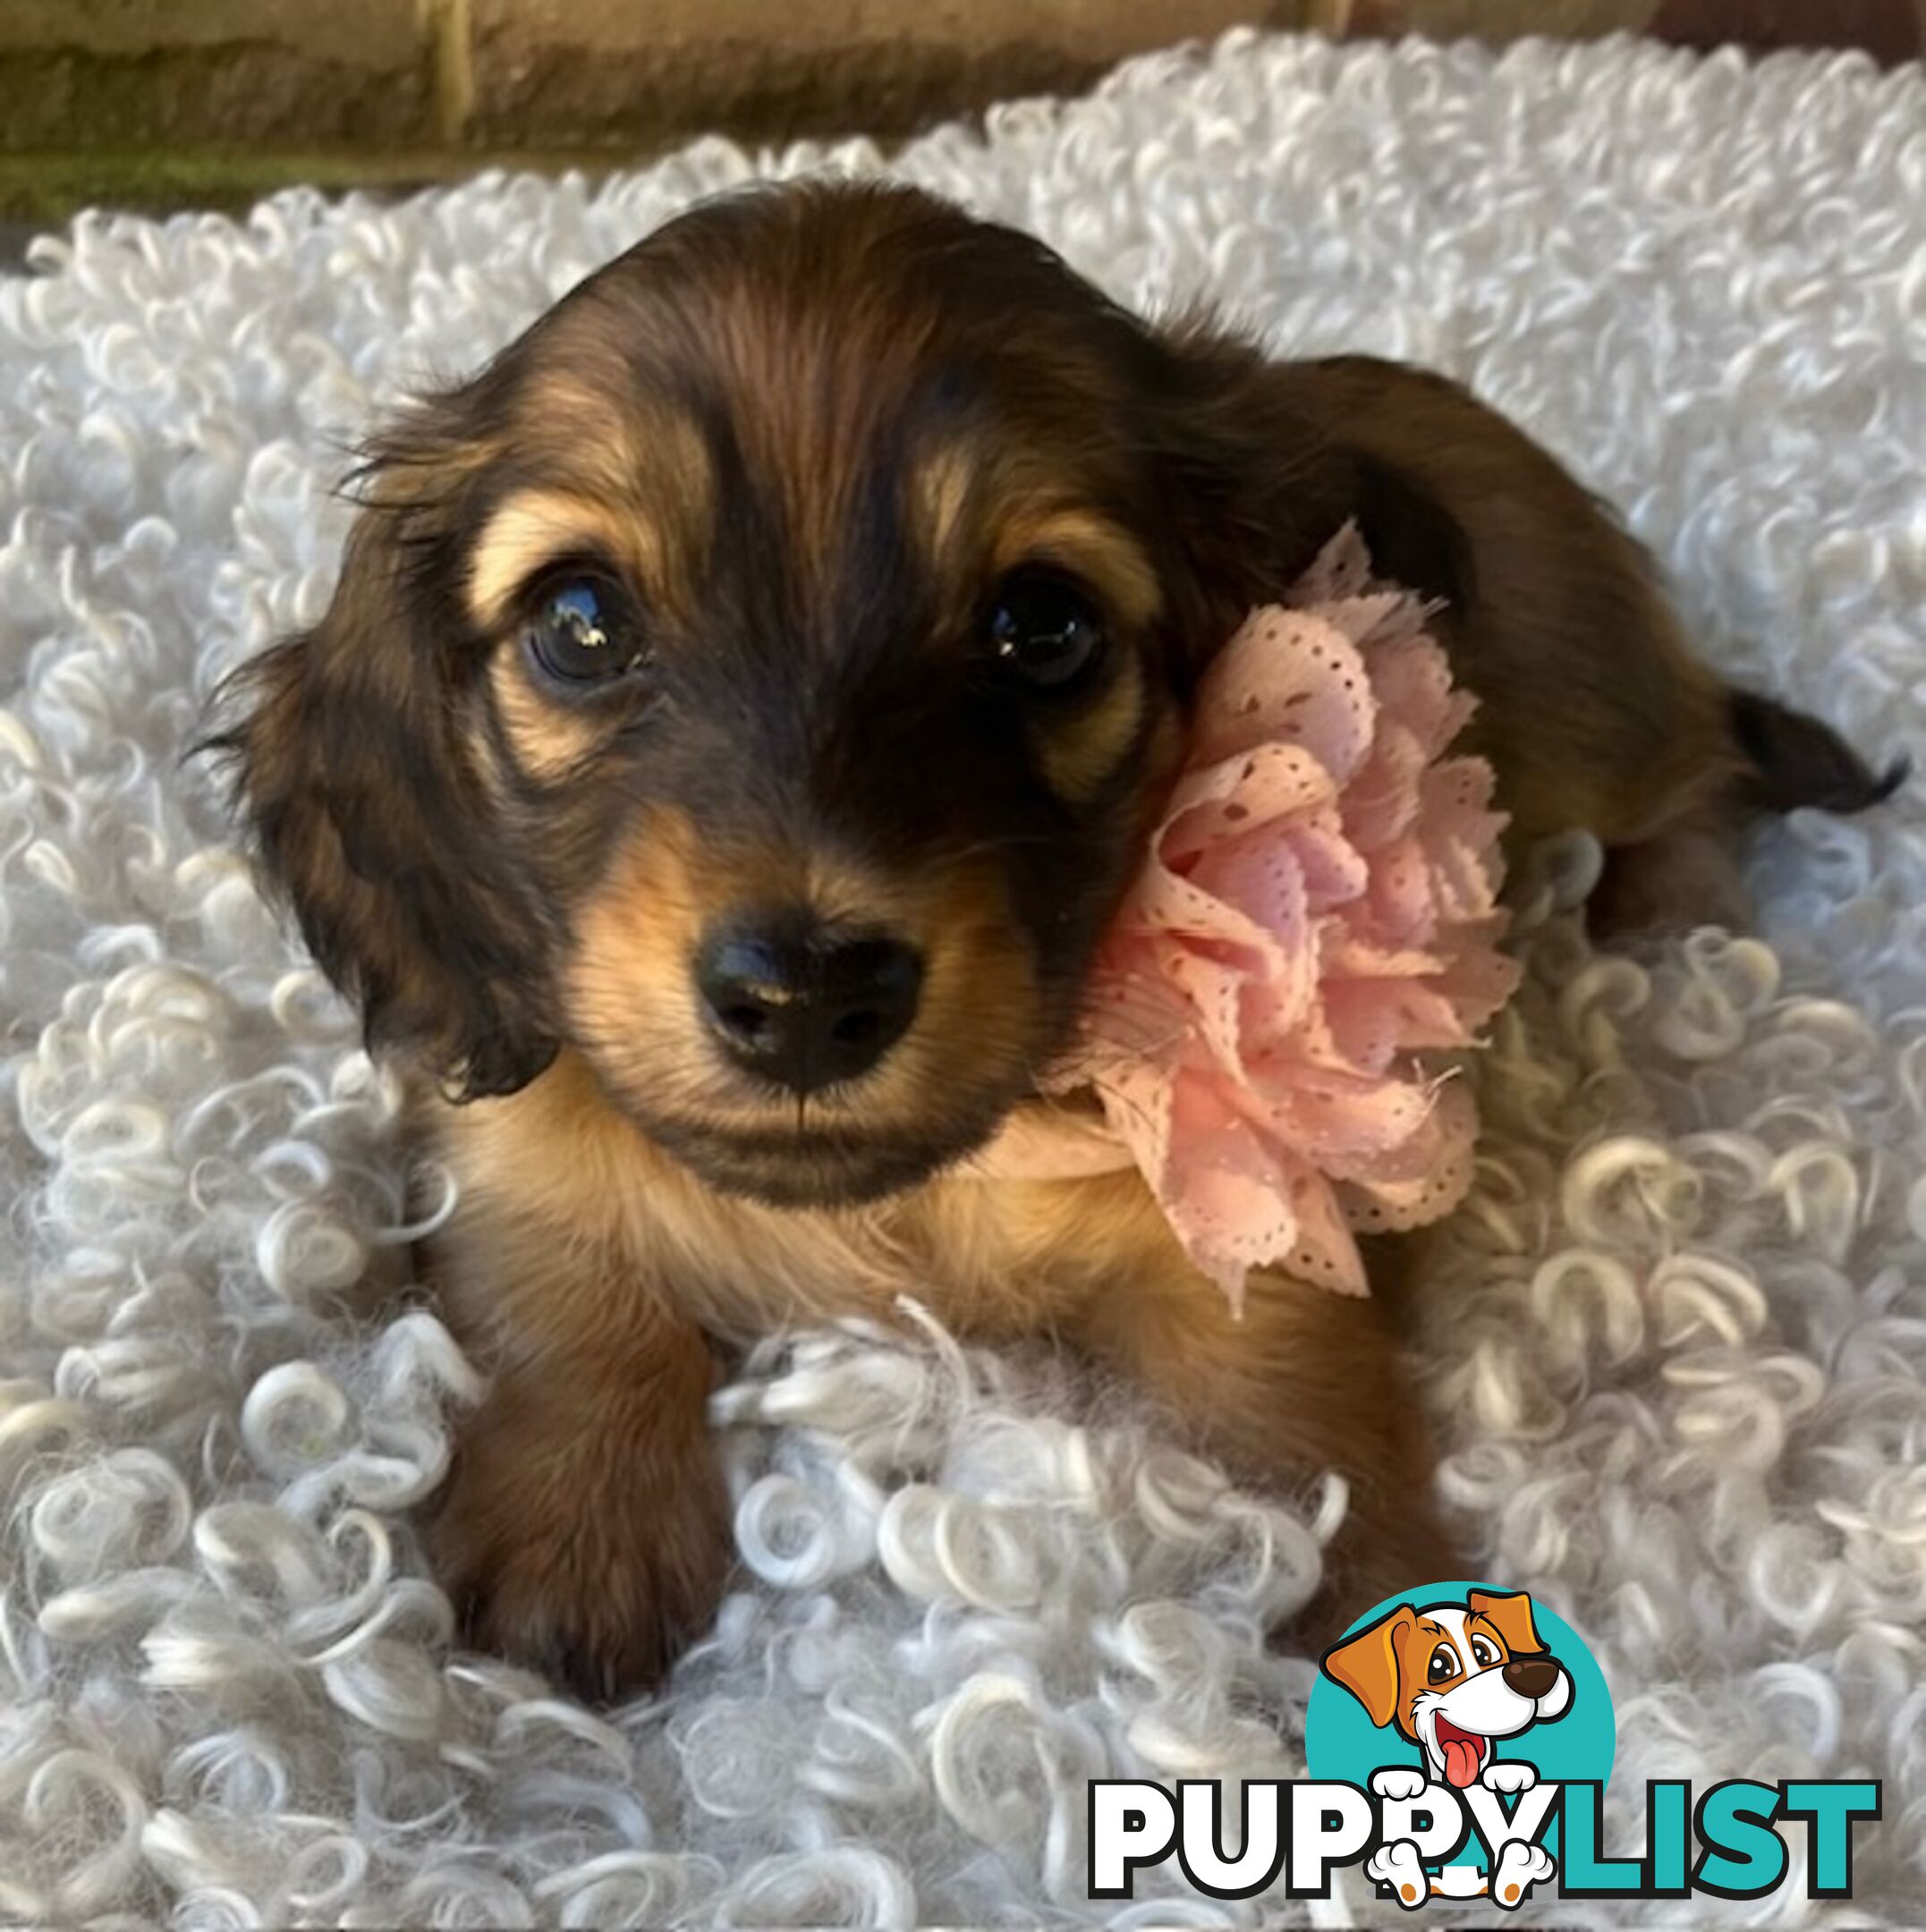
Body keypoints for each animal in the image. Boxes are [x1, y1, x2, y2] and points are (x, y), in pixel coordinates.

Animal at [210, 177, 1893, 1692]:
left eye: (1041, 626)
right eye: (578, 621)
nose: (806, 992)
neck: (910, 1199)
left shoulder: (1263, 1229)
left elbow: (1290, 1403)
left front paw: (1363, 1596)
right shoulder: (506, 1109)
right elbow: (552, 1272)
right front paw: (578, 1515)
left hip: (1588, 695)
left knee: (1698, 754)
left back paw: (1666, 911)